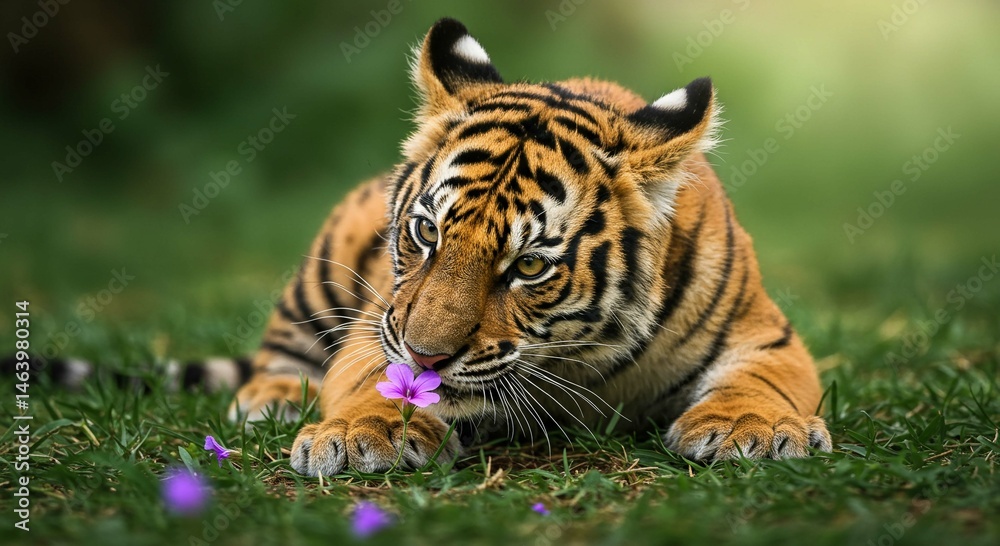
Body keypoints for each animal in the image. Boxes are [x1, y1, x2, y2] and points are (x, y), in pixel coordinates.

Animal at [227, 18, 833, 475]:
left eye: (530, 265)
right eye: (428, 233)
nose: (427, 358)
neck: (576, 358)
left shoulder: (766, 336)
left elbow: (763, 382)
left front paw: (751, 428)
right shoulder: (377, 323)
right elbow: (370, 380)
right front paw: (359, 433)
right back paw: (272, 397)